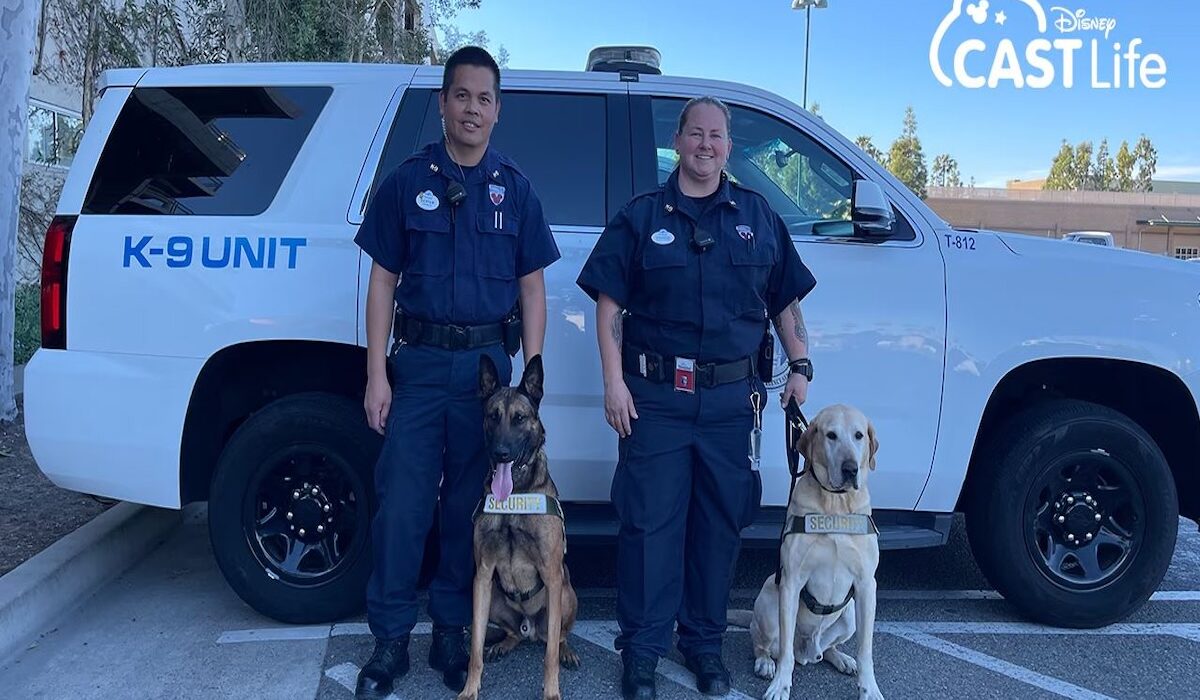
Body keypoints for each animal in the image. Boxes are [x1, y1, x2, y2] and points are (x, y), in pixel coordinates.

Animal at [457, 354, 580, 700]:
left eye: (520, 418)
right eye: (492, 416)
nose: (501, 453)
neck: (514, 496)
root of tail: (529, 629)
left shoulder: (552, 575)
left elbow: (549, 655)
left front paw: (551, 692)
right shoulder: (483, 575)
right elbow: (474, 649)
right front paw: (470, 688)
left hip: (565, 595)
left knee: (557, 637)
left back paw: (566, 651)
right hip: (494, 600)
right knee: (512, 632)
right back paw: (505, 643)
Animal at [739, 404, 884, 700]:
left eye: (859, 435)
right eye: (831, 435)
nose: (850, 469)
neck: (835, 503)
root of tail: (807, 650)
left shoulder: (866, 585)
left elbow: (865, 650)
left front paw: (869, 689)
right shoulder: (792, 581)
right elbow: (784, 655)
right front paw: (780, 686)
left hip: (849, 615)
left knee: (827, 649)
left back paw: (841, 658)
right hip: (770, 603)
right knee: (766, 644)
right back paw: (765, 663)